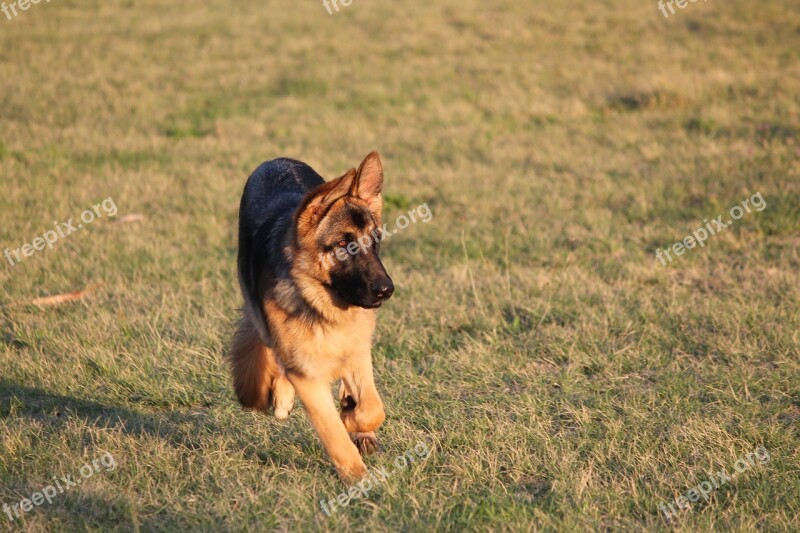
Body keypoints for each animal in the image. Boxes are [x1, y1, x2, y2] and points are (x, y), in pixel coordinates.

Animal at [228, 152, 394, 480]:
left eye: (375, 240)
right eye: (343, 244)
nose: (386, 290)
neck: (319, 300)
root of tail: (278, 159)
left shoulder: (357, 349)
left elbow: (372, 408)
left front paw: (354, 417)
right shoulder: (307, 374)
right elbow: (333, 431)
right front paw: (357, 477)